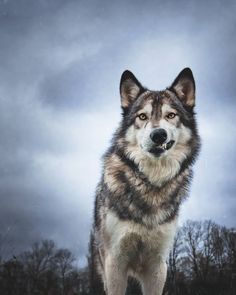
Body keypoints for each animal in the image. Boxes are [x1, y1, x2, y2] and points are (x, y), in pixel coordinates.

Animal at [91, 68, 200, 294]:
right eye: (142, 116)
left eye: (171, 115)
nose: (158, 135)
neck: (150, 183)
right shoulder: (115, 263)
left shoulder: (157, 265)